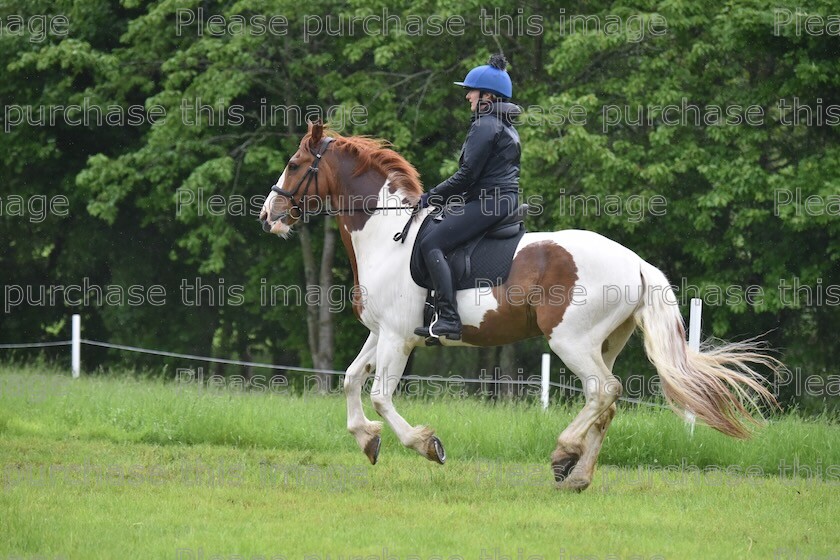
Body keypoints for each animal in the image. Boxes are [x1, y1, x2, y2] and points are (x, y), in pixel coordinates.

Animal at [258, 121, 780, 490]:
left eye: (294, 163)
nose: (268, 216)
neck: (388, 238)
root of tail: (636, 263)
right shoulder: (380, 333)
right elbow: (350, 379)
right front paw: (368, 441)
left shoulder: (399, 339)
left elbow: (381, 396)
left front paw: (427, 445)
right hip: (603, 343)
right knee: (607, 402)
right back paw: (577, 476)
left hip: (570, 340)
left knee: (604, 391)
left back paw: (563, 454)